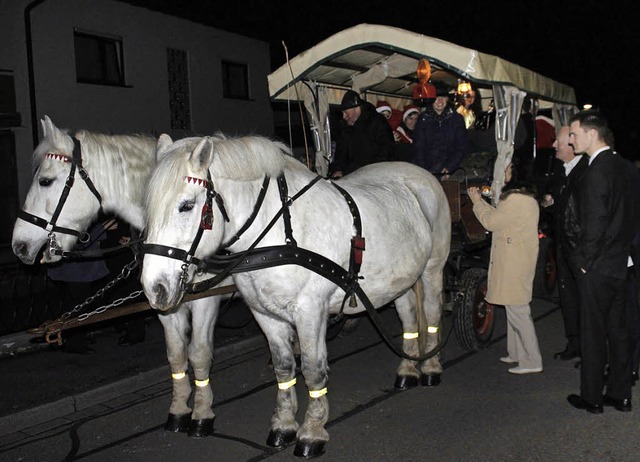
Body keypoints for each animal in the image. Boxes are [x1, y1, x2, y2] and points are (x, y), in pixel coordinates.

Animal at [11, 117, 226, 438]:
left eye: (45, 181)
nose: (19, 245)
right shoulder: (164, 301)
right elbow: (176, 354)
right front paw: (178, 410)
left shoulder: (205, 300)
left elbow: (199, 353)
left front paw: (202, 414)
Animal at [141, 134, 450, 458]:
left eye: (186, 206)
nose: (153, 287)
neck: (280, 232)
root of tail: (420, 173)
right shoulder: (264, 313)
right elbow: (283, 366)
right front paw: (284, 425)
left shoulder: (310, 311)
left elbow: (313, 370)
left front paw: (312, 432)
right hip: (400, 279)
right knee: (409, 317)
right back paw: (407, 370)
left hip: (432, 269)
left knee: (431, 312)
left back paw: (430, 368)